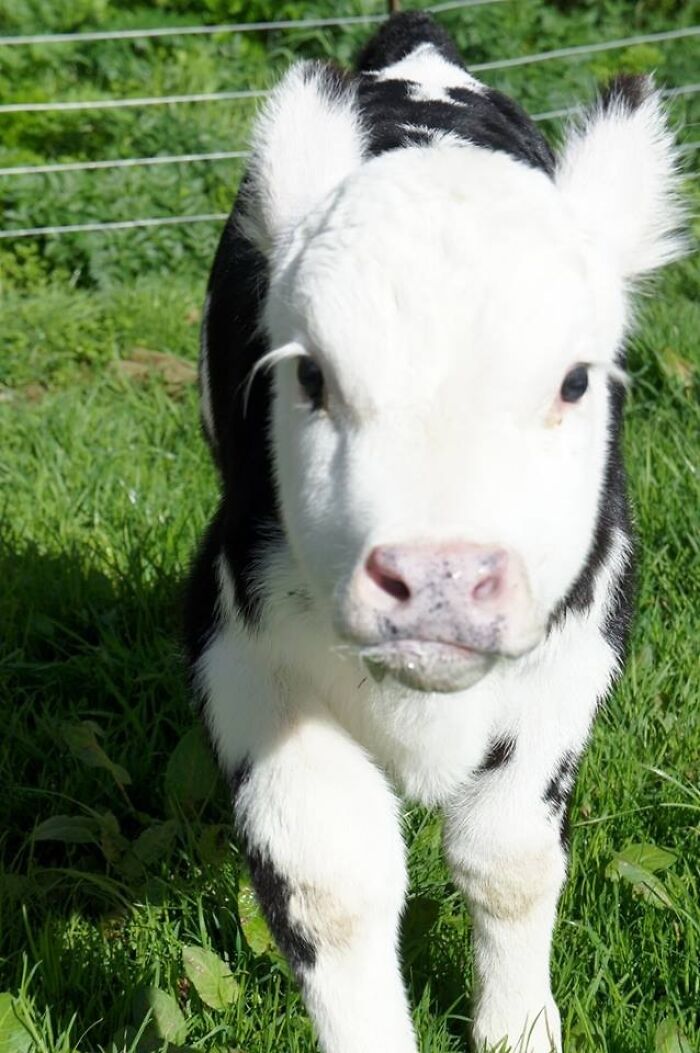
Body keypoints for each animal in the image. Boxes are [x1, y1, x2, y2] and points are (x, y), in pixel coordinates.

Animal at [184, 12, 684, 1052]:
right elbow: (331, 883)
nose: (440, 576)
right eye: (311, 374)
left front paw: (520, 1026)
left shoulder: (582, 639)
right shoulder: (237, 641)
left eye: (575, 379)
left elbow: (509, 855)